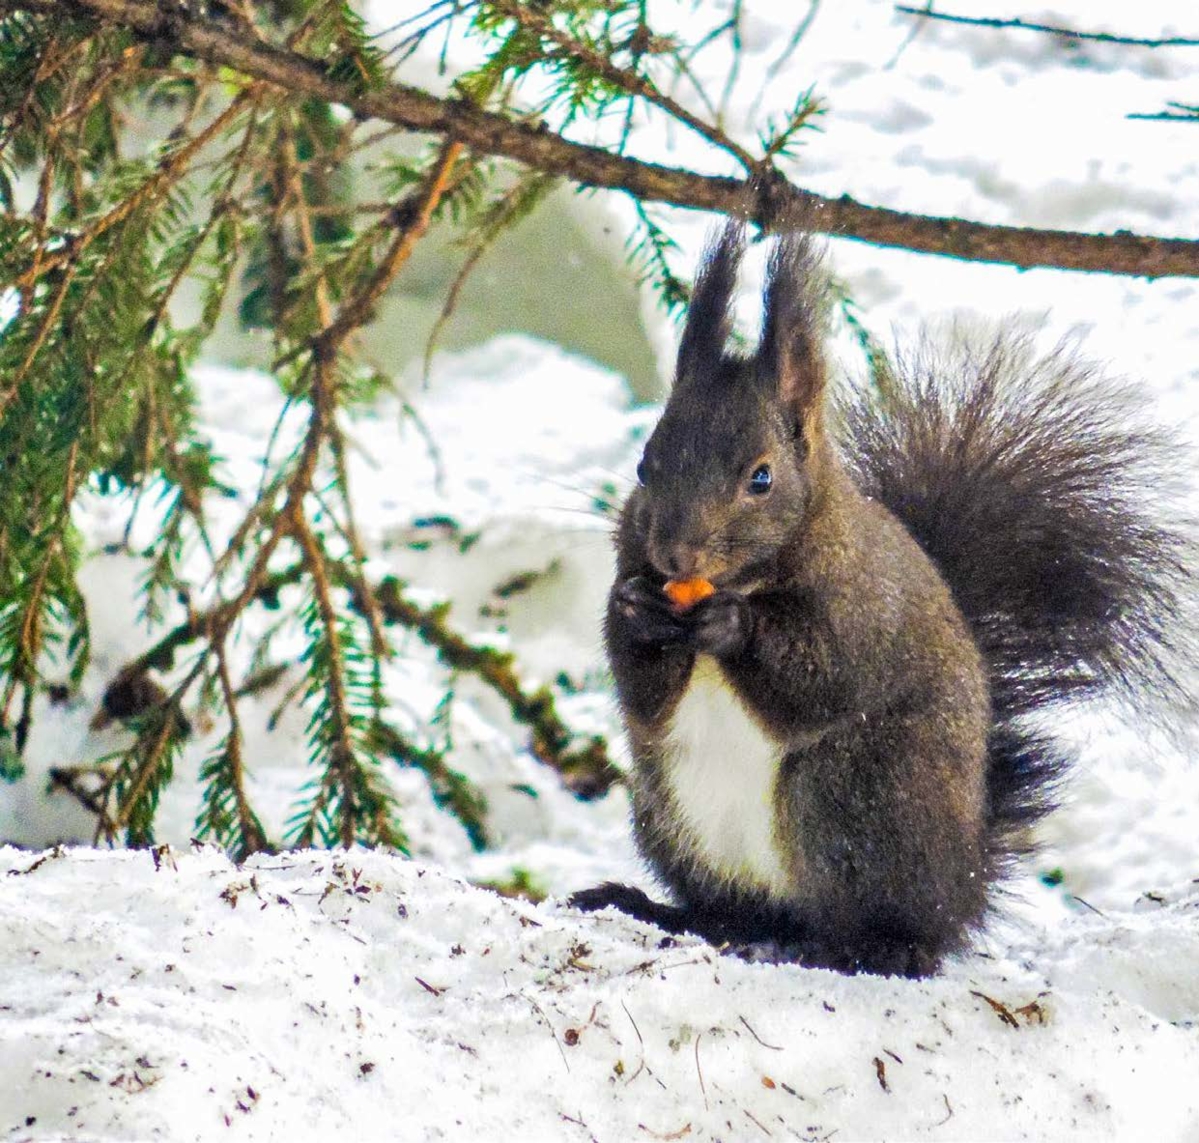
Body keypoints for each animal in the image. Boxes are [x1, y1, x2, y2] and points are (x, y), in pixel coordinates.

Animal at [568, 225, 1189, 983]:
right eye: (644, 464)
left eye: (761, 478)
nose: (676, 558)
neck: (753, 572)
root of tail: (964, 881)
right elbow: (644, 698)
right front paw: (636, 612)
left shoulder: (861, 609)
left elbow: (823, 678)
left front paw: (732, 626)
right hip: (668, 810)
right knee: (734, 910)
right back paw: (663, 910)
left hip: (854, 796)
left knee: (887, 931)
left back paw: (849, 946)